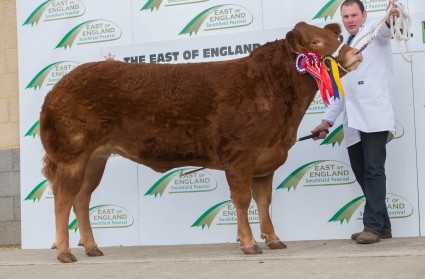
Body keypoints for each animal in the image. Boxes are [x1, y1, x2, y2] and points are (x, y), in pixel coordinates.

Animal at [39, 21, 362, 262]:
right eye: (315, 42)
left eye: (337, 37)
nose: (354, 55)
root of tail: (59, 86)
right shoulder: (240, 155)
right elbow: (242, 200)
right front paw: (248, 242)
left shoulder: (266, 159)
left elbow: (264, 201)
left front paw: (273, 239)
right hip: (72, 156)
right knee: (63, 199)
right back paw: (65, 252)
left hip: (96, 157)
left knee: (82, 198)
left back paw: (92, 247)